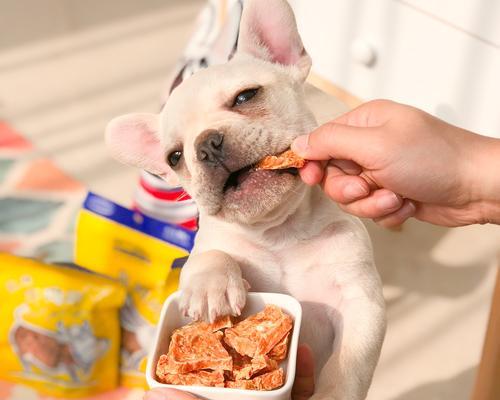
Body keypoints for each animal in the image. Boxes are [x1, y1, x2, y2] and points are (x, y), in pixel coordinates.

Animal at [106, 0, 386, 396]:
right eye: (174, 157)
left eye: (245, 96)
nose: (206, 144)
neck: (279, 232)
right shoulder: (207, 246)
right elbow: (209, 256)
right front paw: (212, 287)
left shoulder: (361, 303)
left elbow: (349, 361)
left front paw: (334, 393)